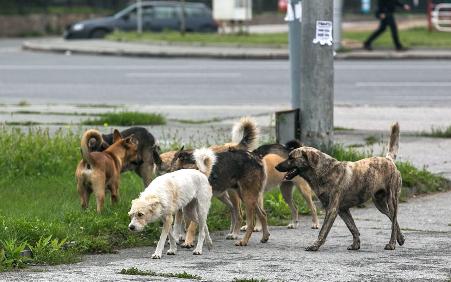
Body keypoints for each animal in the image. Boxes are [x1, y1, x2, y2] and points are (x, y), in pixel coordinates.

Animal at [278, 123, 404, 251]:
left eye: (291, 158)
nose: (276, 166)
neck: (324, 171)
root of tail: (388, 160)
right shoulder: (342, 210)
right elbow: (352, 227)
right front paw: (356, 244)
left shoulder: (332, 210)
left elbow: (323, 230)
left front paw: (315, 245)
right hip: (380, 204)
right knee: (393, 219)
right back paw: (400, 238)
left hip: (392, 200)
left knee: (393, 221)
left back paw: (392, 243)